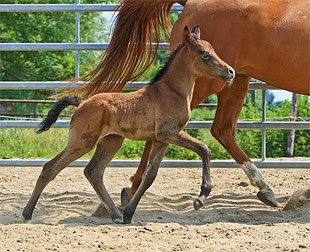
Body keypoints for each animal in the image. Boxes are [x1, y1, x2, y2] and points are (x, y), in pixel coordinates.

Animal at [66, 0, 308, 208]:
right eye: (205, 53)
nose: (228, 69)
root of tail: (191, 2)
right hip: (209, 82)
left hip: (235, 81)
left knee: (222, 130)